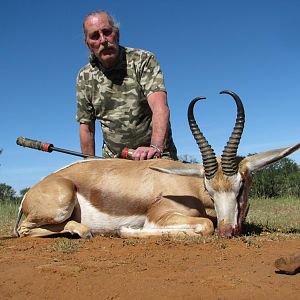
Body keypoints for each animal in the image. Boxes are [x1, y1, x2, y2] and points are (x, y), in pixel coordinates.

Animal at [14, 90, 300, 238]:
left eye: (241, 187)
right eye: (209, 190)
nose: (227, 231)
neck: (188, 187)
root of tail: (30, 193)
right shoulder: (161, 216)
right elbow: (206, 225)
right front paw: (127, 230)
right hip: (60, 204)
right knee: (24, 230)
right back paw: (83, 231)